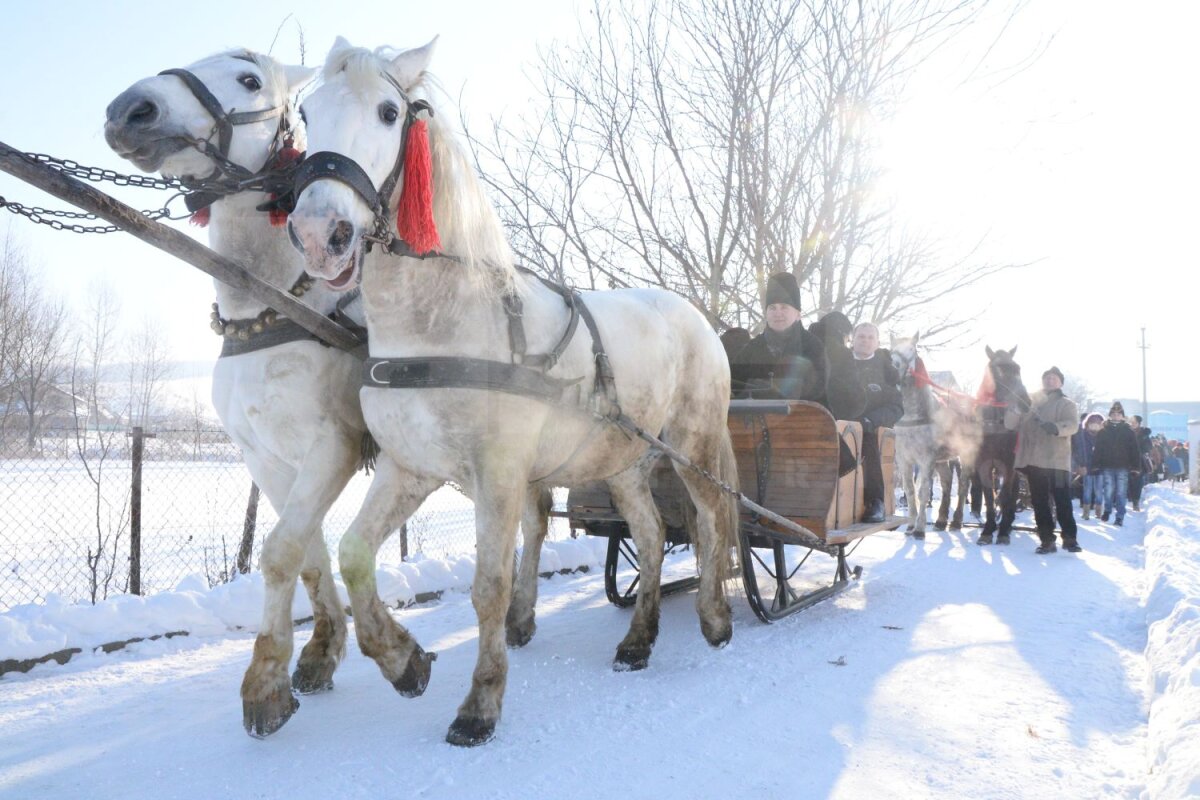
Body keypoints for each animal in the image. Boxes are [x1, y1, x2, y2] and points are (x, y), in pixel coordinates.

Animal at [105, 51, 372, 738]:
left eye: (250, 79)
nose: (129, 110)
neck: (277, 309)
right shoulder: (268, 460)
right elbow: (307, 554)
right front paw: (319, 654)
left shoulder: (333, 448)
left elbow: (277, 555)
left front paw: (266, 687)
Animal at [284, 38, 734, 753]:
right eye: (306, 111)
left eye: (388, 112)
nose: (318, 232)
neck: (440, 324)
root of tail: (694, 314)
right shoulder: (410, 467)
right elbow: (355, 556)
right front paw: (403, 661)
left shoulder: (496, 473)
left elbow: (489, 587)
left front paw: (480, 703)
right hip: (624, 462)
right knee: (651, 533)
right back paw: (638, 640)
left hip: (693, 443)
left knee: (713, 518)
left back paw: (717, 618)